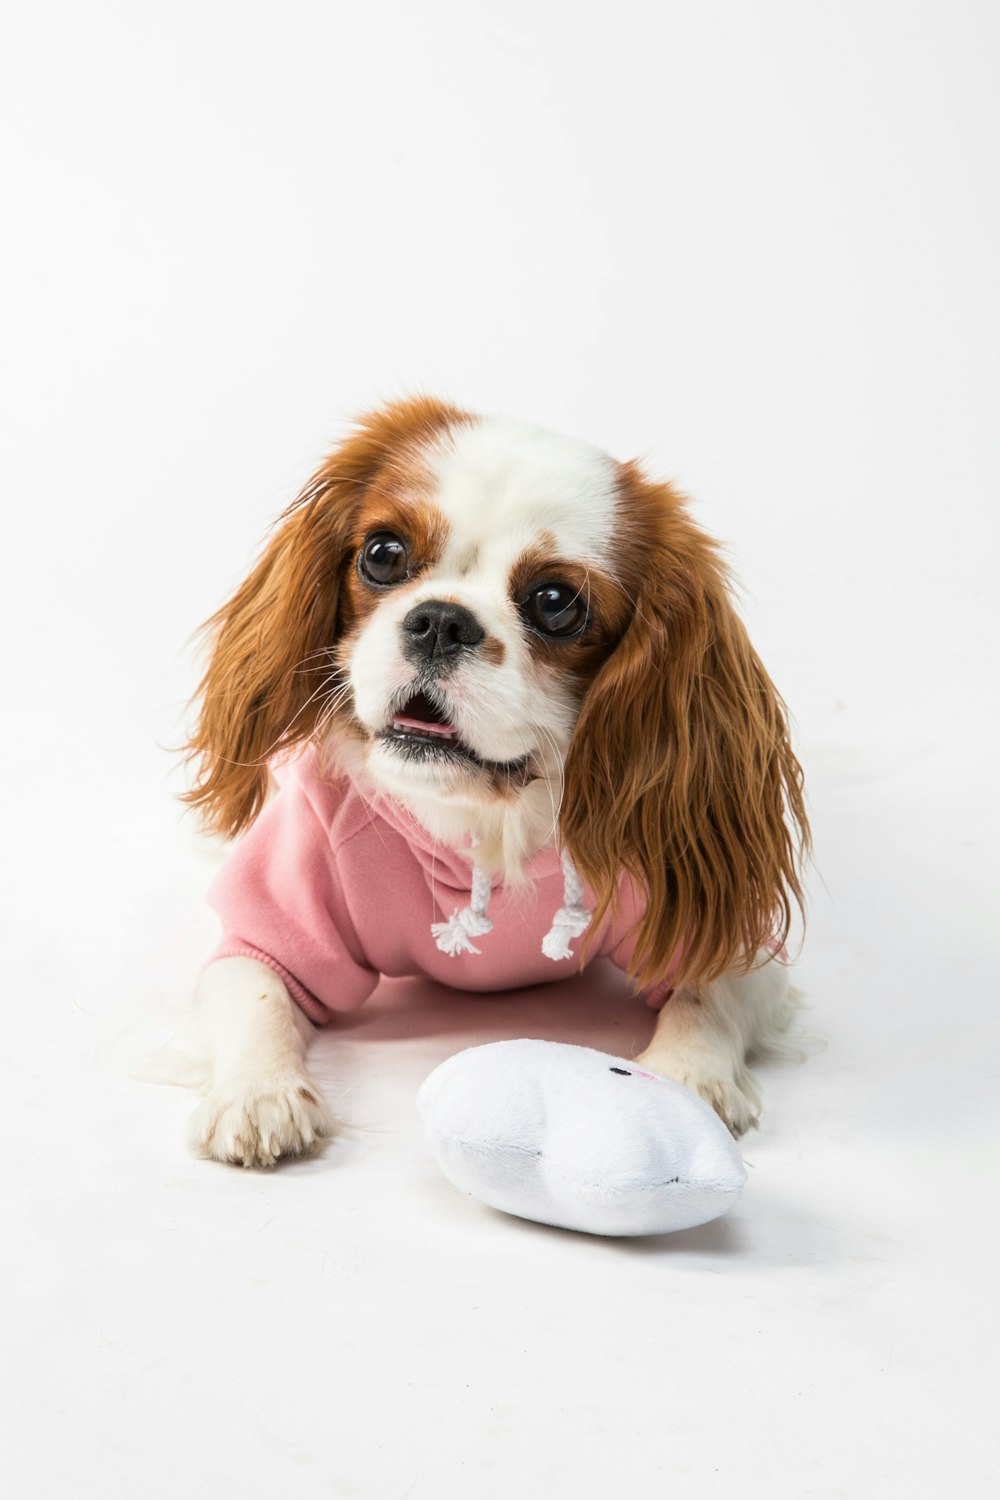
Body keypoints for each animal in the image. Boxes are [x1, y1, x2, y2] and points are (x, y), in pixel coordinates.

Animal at [179, 399, 809, 1170]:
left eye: (556, 602)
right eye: (383, 554)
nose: (441, 621)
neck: (488, 820)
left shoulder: (712, 914)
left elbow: (709, 994)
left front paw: (688, 1078)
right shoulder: (282, 907)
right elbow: (256, 986)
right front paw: (258, 1092)